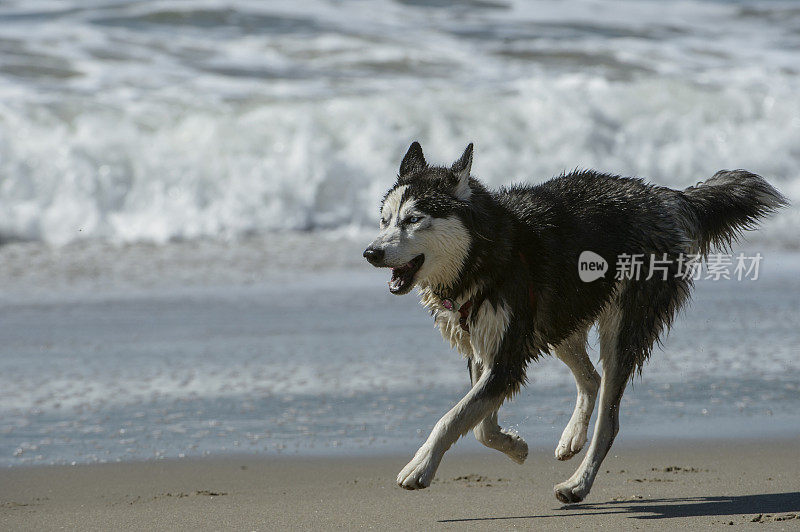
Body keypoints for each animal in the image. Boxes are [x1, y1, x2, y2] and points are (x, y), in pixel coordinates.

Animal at [364, 141, 788, 502]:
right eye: (384, 220)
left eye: (414, 219)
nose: (370, 252)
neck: (484, 257)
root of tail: (661, 197)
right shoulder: (483, 349)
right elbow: (480, 423)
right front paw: (514, 446)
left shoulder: (506, 356)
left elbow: (453, 417)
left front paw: (419, 468)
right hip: (561, 320)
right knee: (591, 379)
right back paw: (571, 438)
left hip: (620, 325)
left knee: (609, 419)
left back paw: (578, 484)